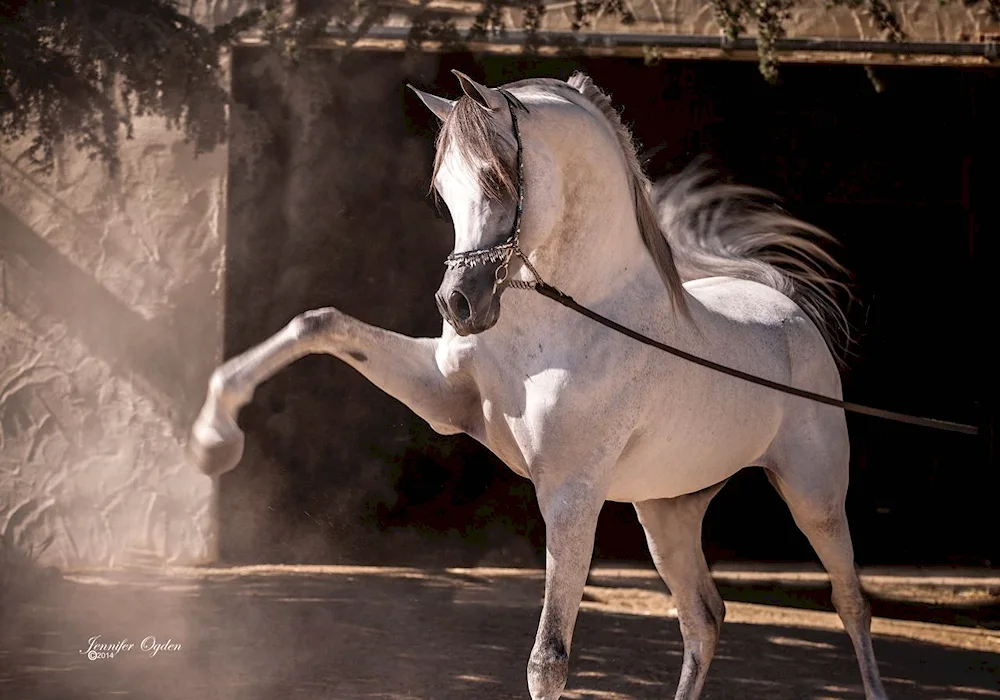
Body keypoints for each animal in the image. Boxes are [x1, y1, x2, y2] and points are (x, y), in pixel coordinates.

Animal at [189, 71, 892, 700]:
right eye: (443, 190)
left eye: (499, 178)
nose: (459, 306)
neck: (566, 320)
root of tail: (784, 308)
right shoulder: (446, 398)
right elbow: (321, 323)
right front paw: (212, 439)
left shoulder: (571, 494)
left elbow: (548, 663)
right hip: (668, 511)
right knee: (704, 618)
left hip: (814, 496)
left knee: (851, 604)